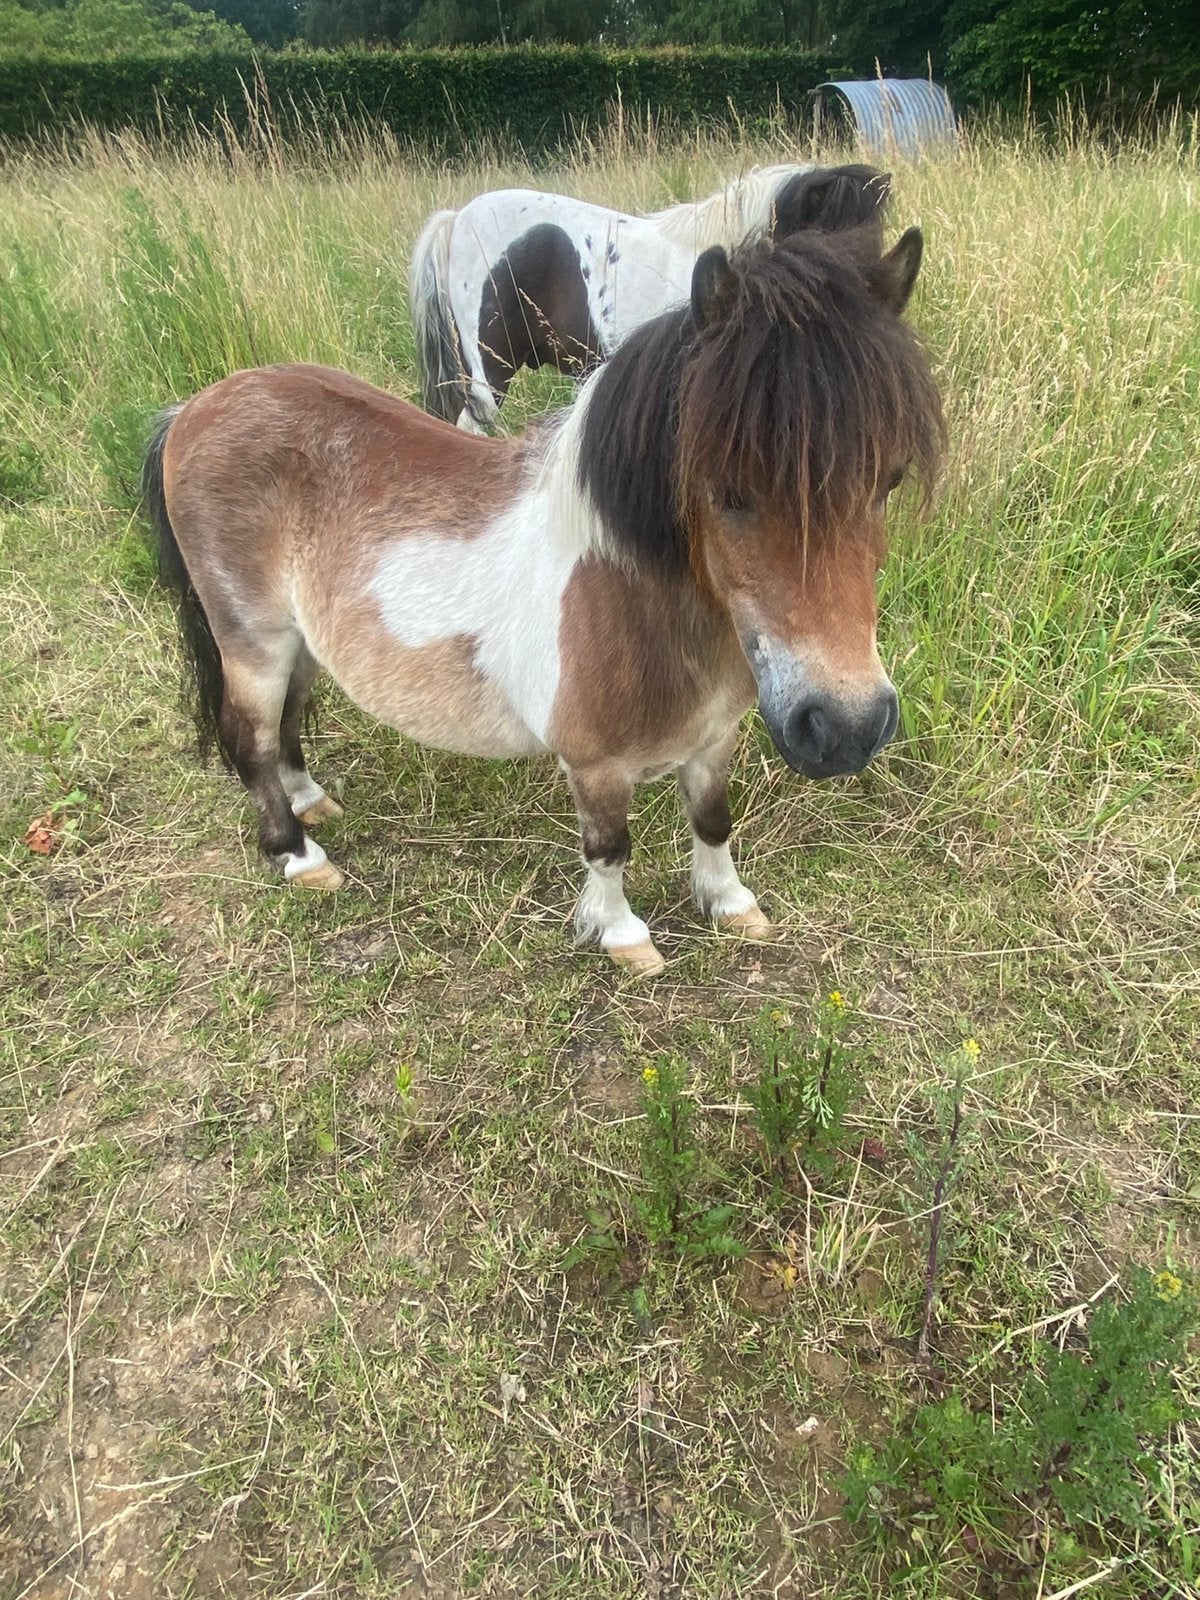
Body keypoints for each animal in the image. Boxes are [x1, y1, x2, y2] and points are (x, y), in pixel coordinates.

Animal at [144, 224, 943, 978]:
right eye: (728, 491)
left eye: (892, 478)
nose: (846, 729)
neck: (627, 596)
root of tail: (195, 407)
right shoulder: (594, 766)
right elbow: (609, 848)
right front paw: (622, 937)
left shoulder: (715, 739)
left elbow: (714, 821)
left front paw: (730, 904)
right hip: (253, 639)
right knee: (250, 737)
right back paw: (302, 856)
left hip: (303, 640)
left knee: (288, 720)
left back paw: (313, 802)